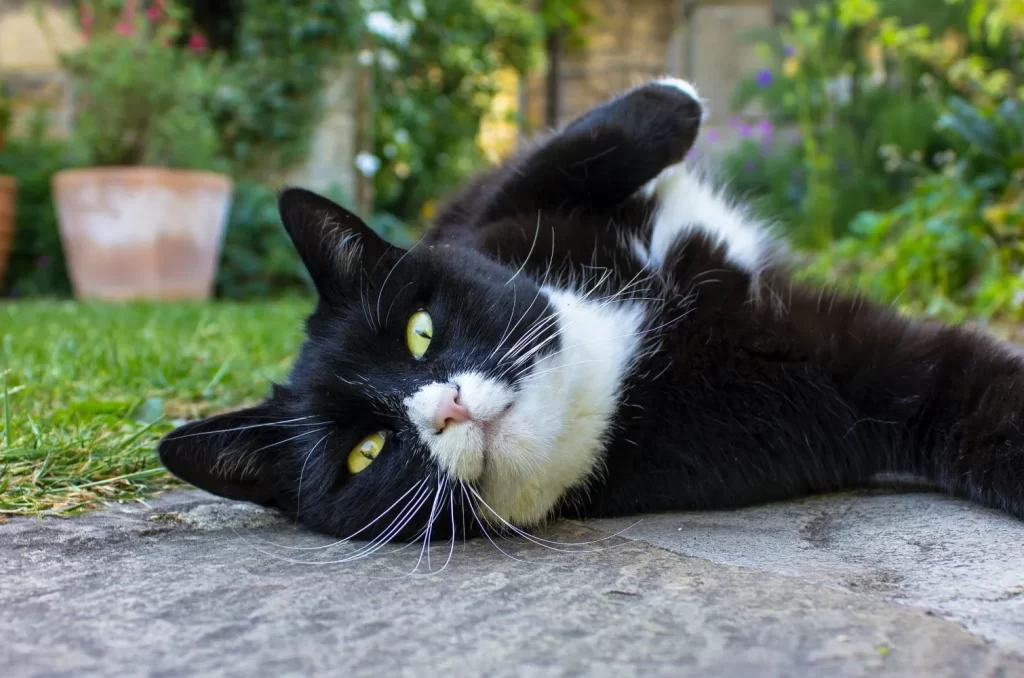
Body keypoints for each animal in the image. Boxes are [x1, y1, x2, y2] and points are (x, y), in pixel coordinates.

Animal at [155, 79, 1024, 548]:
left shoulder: (490, 219)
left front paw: (673, 103)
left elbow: (557, 157)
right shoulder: (814, 385)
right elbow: (949, 389)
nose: (447, 409)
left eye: (419, 330)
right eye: (366, 454)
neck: (610, 351)